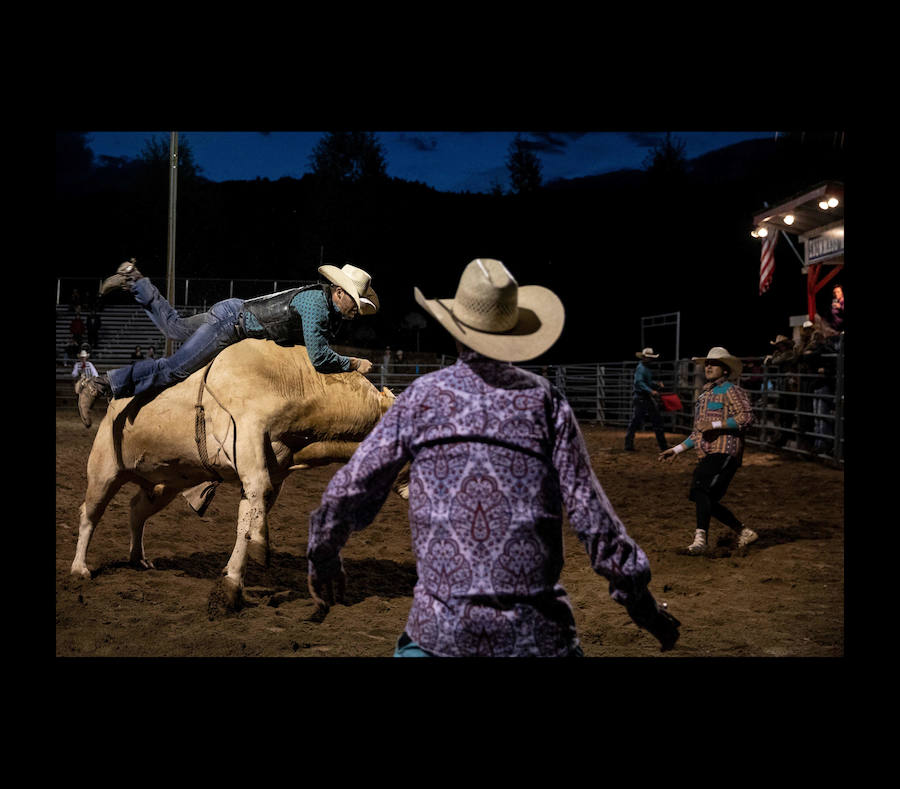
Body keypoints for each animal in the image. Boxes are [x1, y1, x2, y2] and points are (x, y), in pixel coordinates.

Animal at [68, 338, 406, 608]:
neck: (292, 382)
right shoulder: (250, 444)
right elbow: (253, 509)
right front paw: (249, 563)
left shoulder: (272, 475)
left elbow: (249, 518)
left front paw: (234, 581)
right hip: (105, 470)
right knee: (89, 513)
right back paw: (79, 569)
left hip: (167, 481)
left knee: (137, 509)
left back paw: (138, 558)